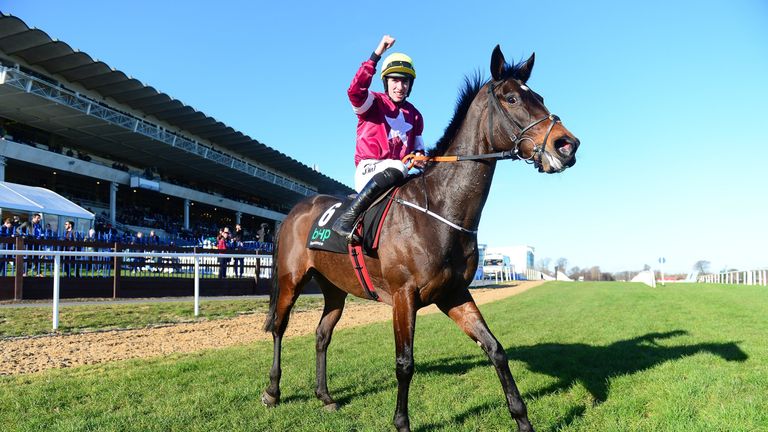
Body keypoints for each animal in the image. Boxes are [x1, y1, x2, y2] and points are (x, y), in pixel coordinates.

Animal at [260, 45, 580, 430]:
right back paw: (272, 392)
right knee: (279, 327)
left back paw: (325, 396)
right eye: (512, 98)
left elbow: (495, 348)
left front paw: (522, 419)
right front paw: (401, 421)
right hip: (291, 279)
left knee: (322, 335)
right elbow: (405, 363)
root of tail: (296, 209)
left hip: (334, 286)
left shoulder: (453, 293)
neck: (439, 209)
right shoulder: (404, 296)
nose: (567, 145)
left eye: (540, 97)